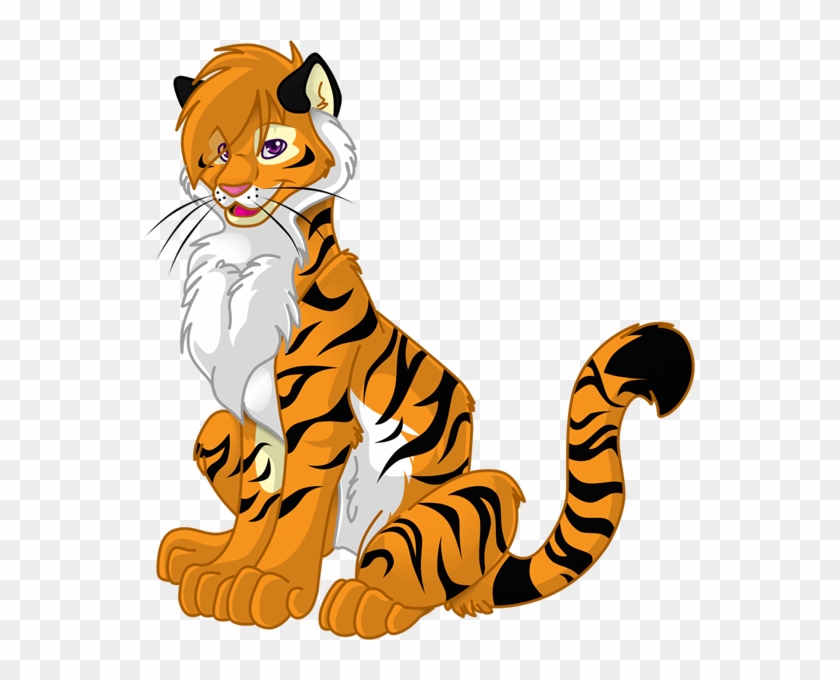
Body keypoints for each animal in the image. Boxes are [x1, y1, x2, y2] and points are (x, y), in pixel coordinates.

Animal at [155, 43, 695, 639]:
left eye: (272, 147)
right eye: (218, 152)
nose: (226, 189)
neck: (247, 255)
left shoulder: (318, 423)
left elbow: (295, 511)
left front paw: (269, 585)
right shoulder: (255, 424)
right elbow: (256, 511)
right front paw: (223, 569)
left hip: (472, 497)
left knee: (415, 578)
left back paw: (365, 601)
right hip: (216, 430)